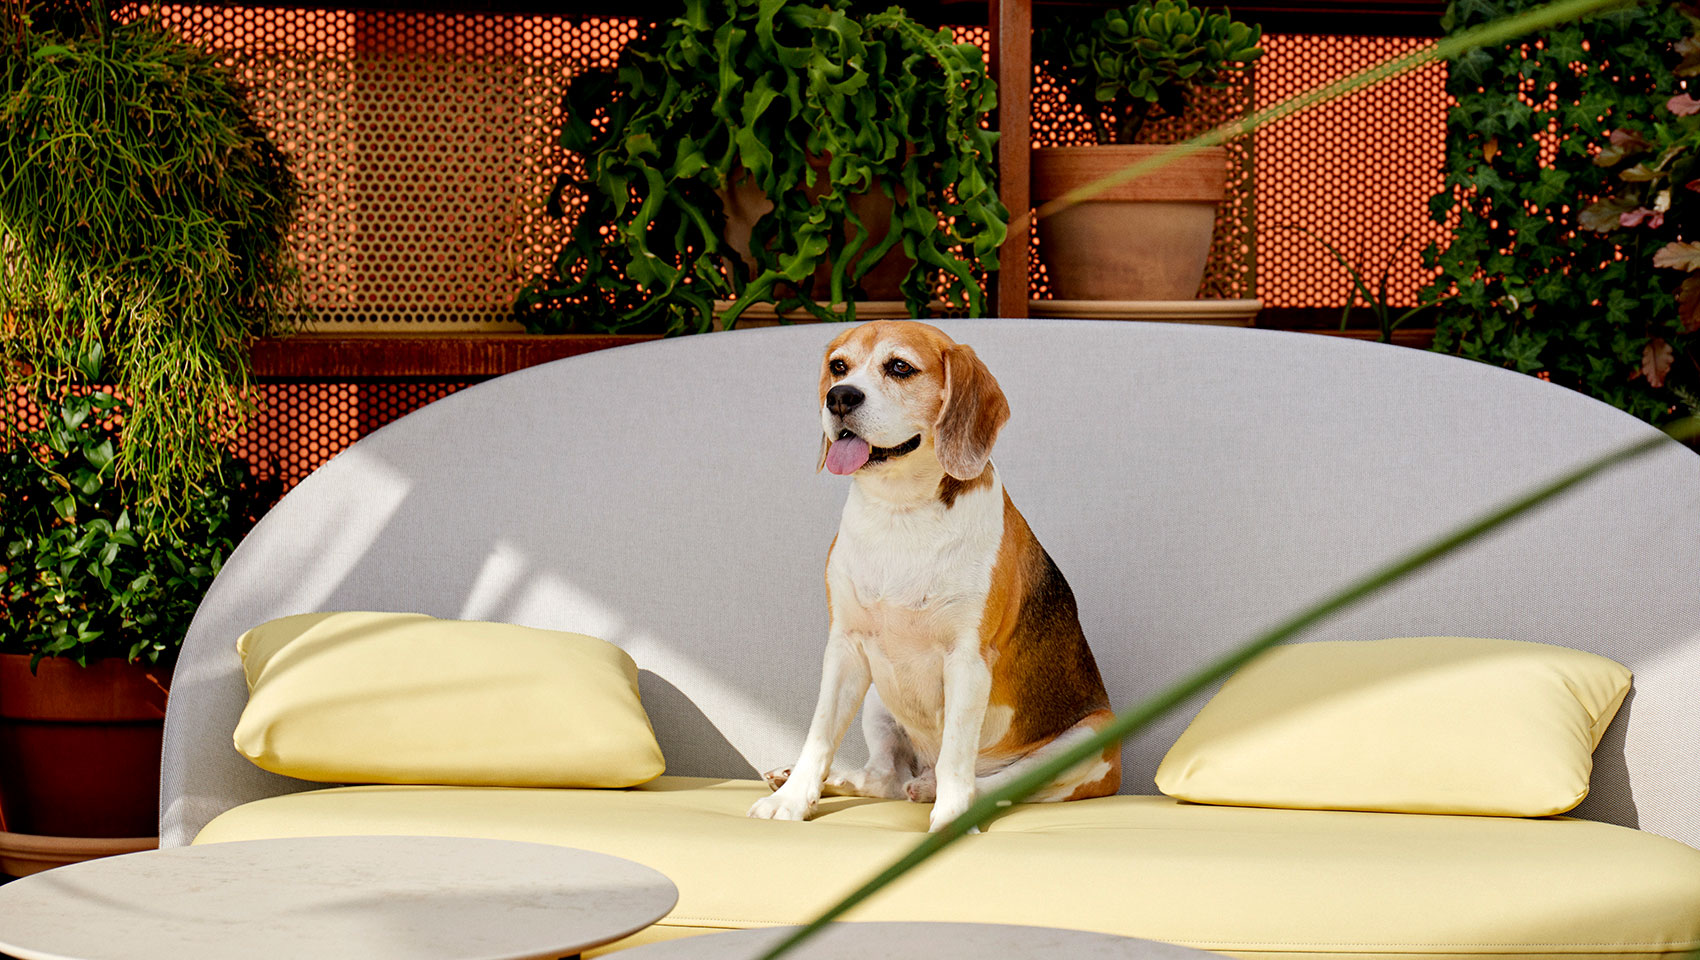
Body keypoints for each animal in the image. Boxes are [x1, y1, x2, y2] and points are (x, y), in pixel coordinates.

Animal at [744, 319, 1115, 832]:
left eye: (900, 367)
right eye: (838, 366)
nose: (839, 397)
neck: (900, 513)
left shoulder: (968, 659)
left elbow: (957, 756)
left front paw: (950, 820)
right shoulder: (845, 647)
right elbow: (819, 735)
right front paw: (793, 798)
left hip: (1092, 736)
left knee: (992, 784)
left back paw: (935, 790)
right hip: (878, 694)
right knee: (885, 778)